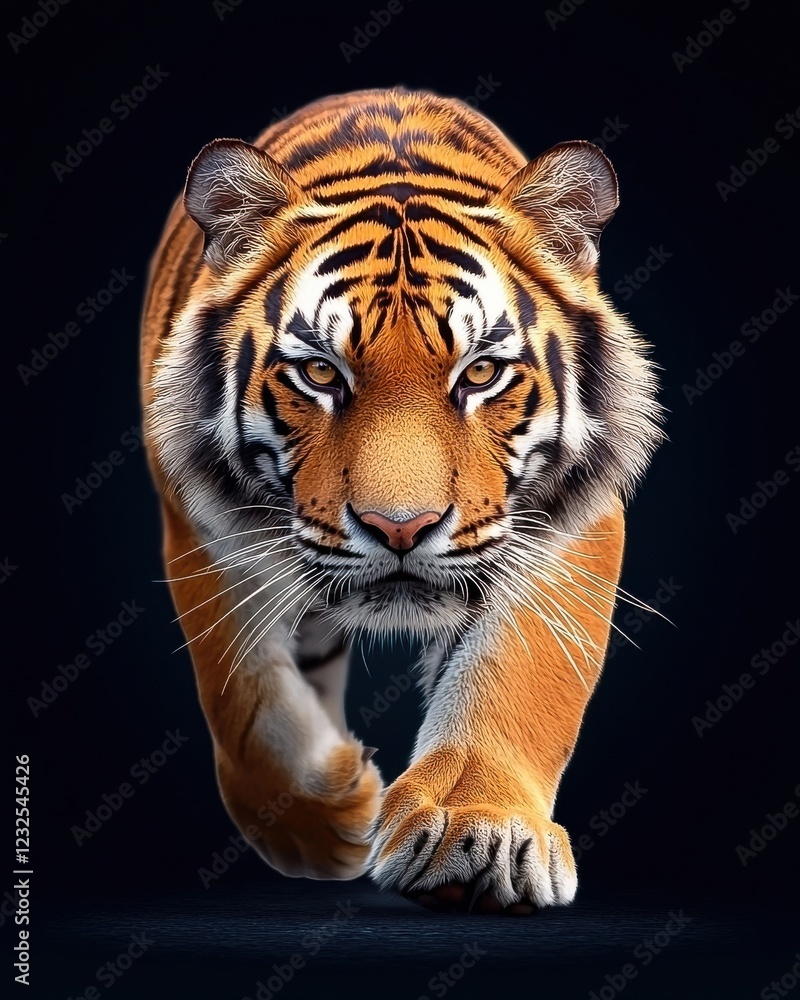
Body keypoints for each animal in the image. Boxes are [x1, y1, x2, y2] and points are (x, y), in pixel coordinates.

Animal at [140, 87, 661, 915]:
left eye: (480, 373)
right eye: (321, 373)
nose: (400, 527)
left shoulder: (568, 524)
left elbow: (521, 672)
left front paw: (479, 831)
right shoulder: (199, 527)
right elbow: (244, 699)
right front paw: (321, 819)